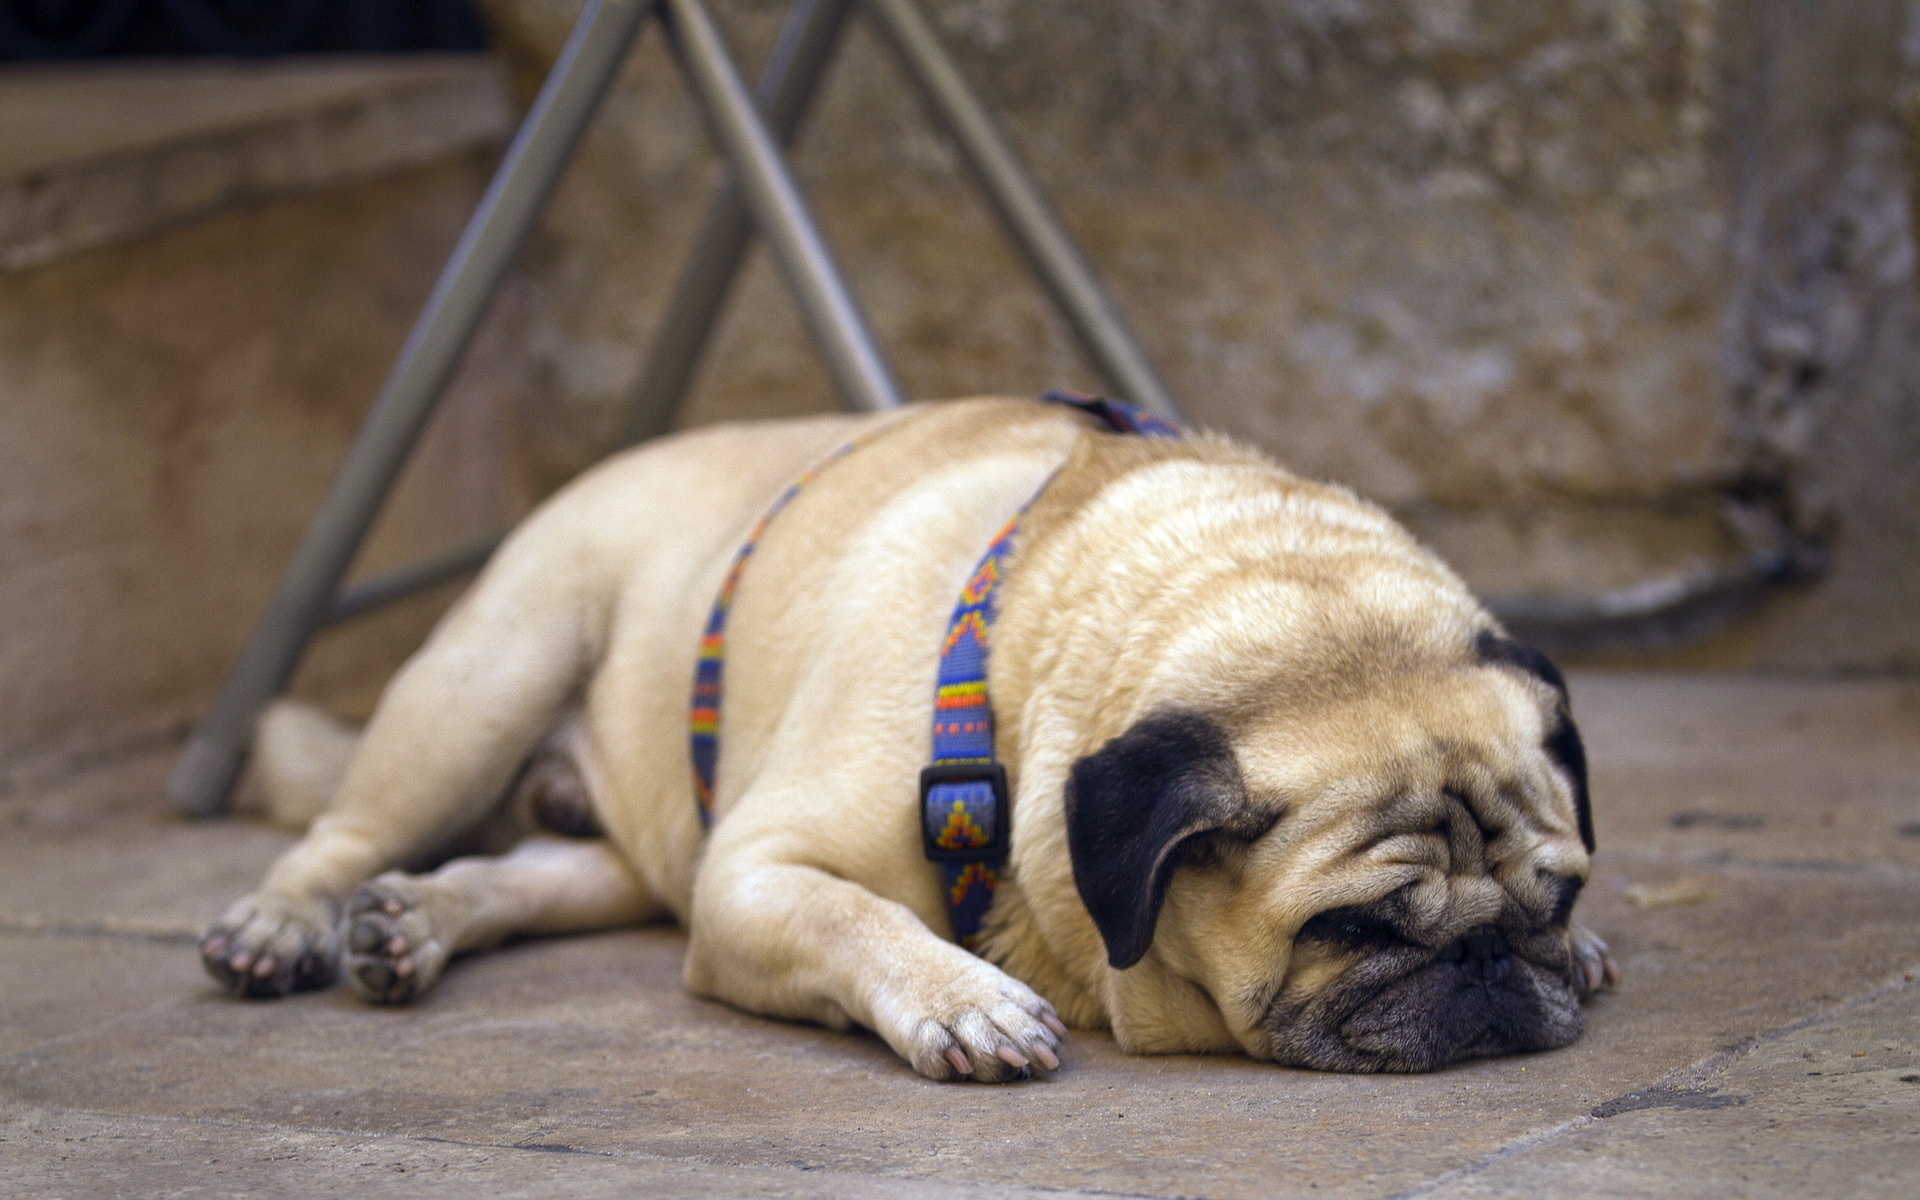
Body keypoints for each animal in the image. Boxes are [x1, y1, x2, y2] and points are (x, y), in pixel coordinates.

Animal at [202, 397, 1612, 1082]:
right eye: (1353, 929)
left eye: (1553, 897)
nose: (1492, 958)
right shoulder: (754, 876)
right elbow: (859, 917)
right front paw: (962, 1001)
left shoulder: (717, 874)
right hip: (486, 683)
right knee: (341, 834)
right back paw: (285, 924)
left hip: (631, 845)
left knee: (532, 876)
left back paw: (415, 925)